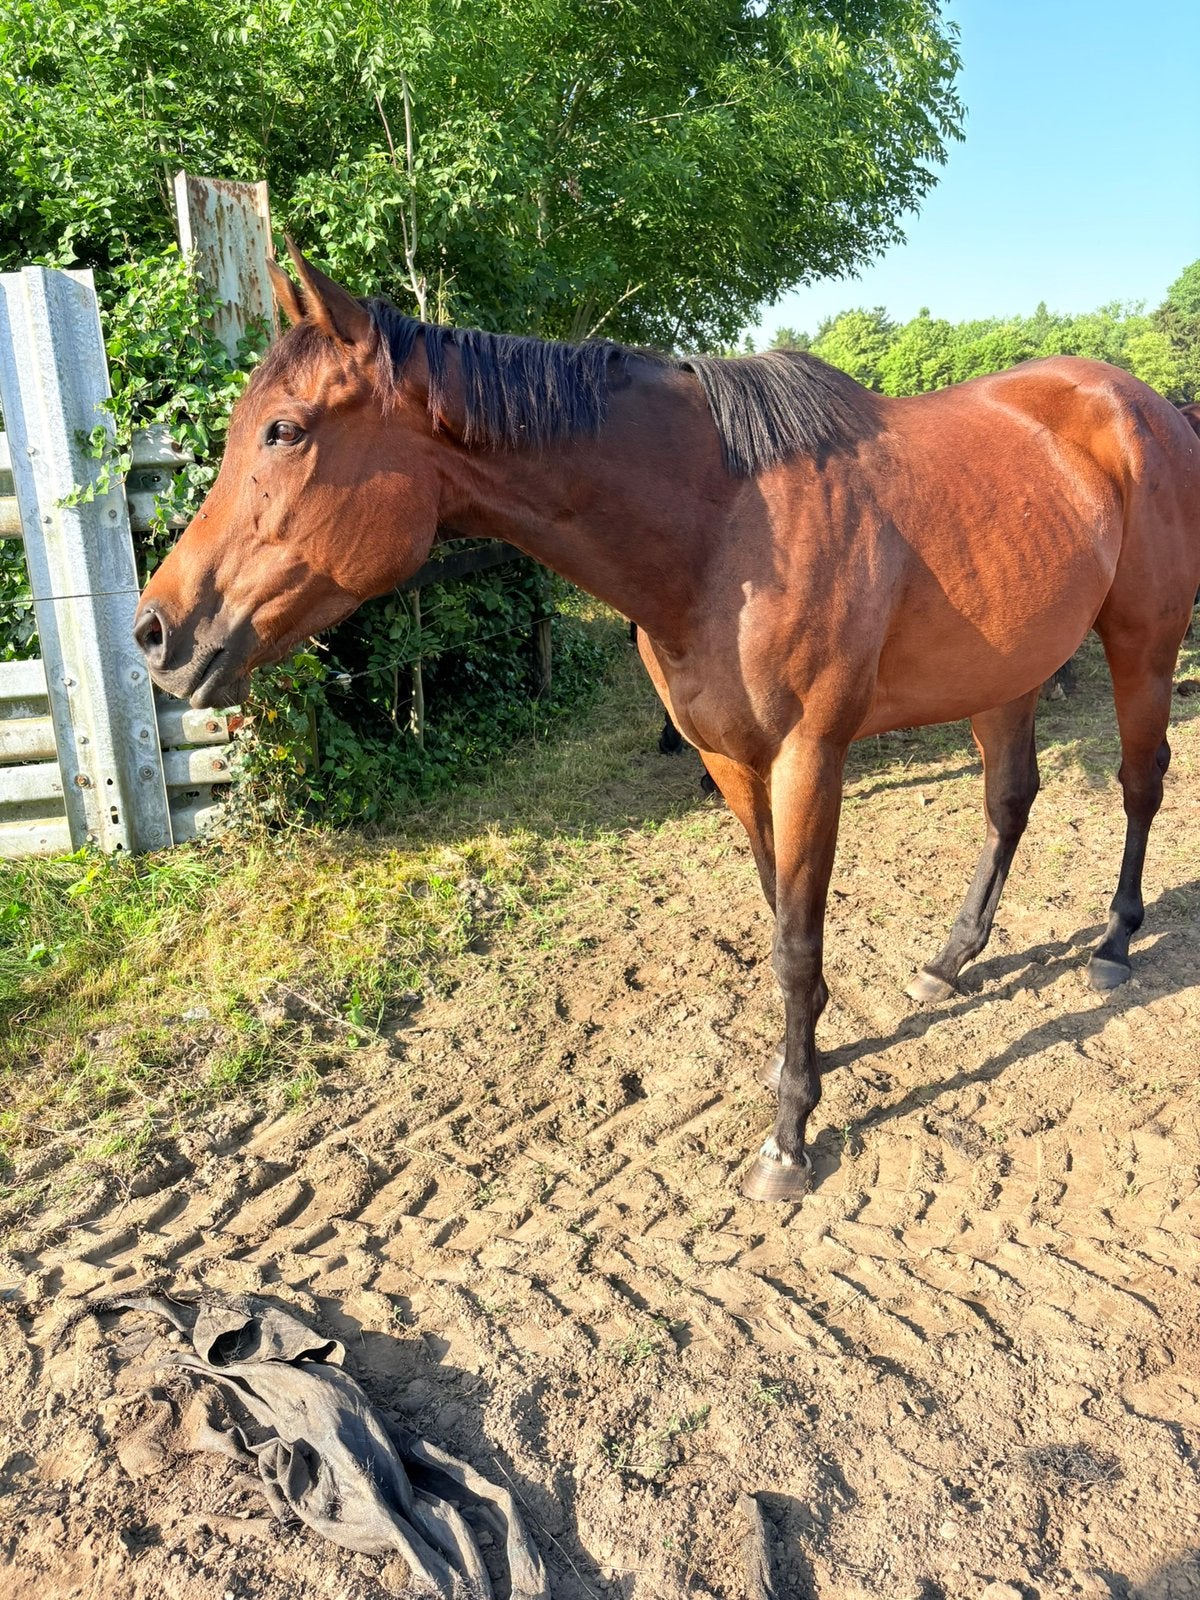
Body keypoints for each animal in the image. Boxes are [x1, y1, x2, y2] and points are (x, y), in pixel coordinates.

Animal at [135, 245, 1200, 1202]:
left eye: (284, 430)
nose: (157, 632)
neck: (724, 535)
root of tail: (1142, 403)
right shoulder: (731, 762)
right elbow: (781, 920)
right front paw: (805, 1062)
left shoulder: (808, 760)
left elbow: (798, 941)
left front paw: (789, 1135)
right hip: (1007, 673)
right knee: (1009, 801)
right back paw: (949, 962)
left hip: (1142, 644)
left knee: (1139, 783)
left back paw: (1113, 947)